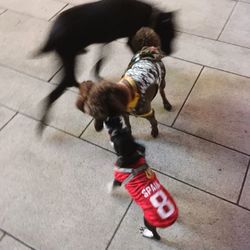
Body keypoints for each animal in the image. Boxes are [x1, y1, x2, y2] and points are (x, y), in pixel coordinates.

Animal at [35, 0, 176, 133]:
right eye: (169, 31)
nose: (170, 52)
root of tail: (51, 35)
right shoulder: (128, 39)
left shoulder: (107, 41)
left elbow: (101, 59)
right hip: (69, 61)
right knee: (59, 90)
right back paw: (42, 123)